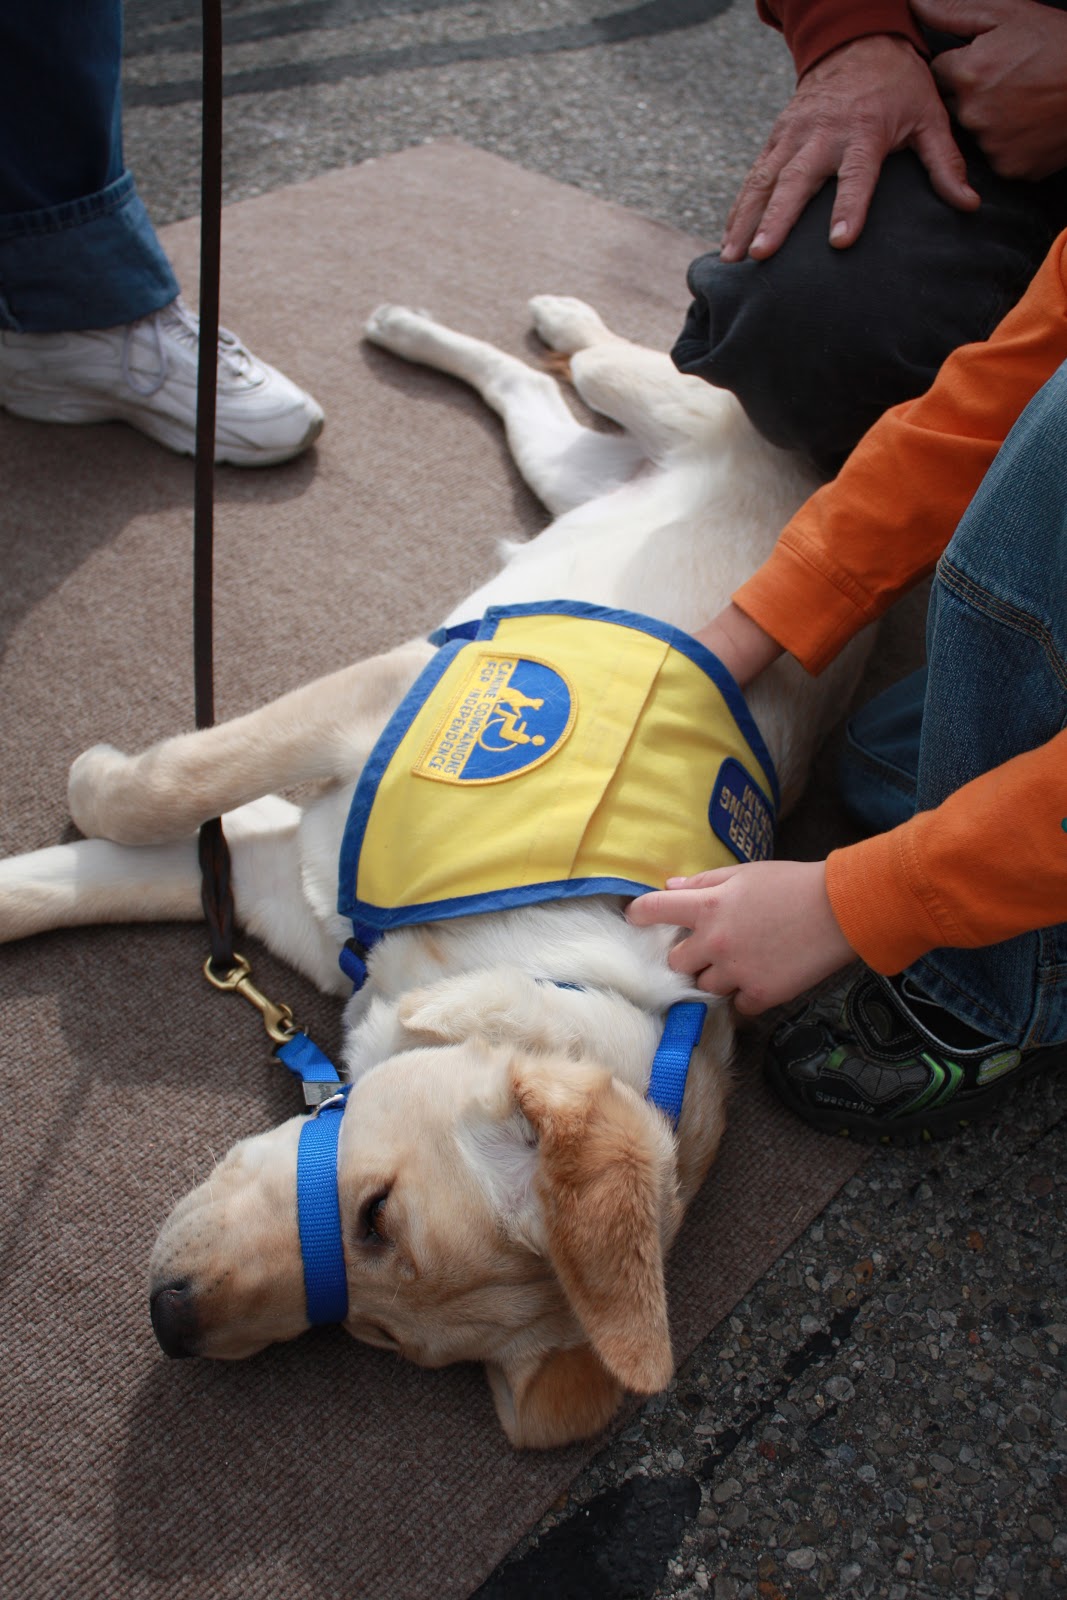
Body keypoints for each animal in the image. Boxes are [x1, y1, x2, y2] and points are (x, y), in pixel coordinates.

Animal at [0, 297, 868, 1447]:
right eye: (374, 1214)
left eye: (374, 1333)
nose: (172, 1320)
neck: (532, 954)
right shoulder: (376, 700)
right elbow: (159, 784)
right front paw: (93, 775)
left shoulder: (270, 875)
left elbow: (80, 868)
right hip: (662, 404)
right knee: (592, 364)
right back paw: (532, 317)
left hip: (566, 468)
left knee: (526, 394)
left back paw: (428, 328)